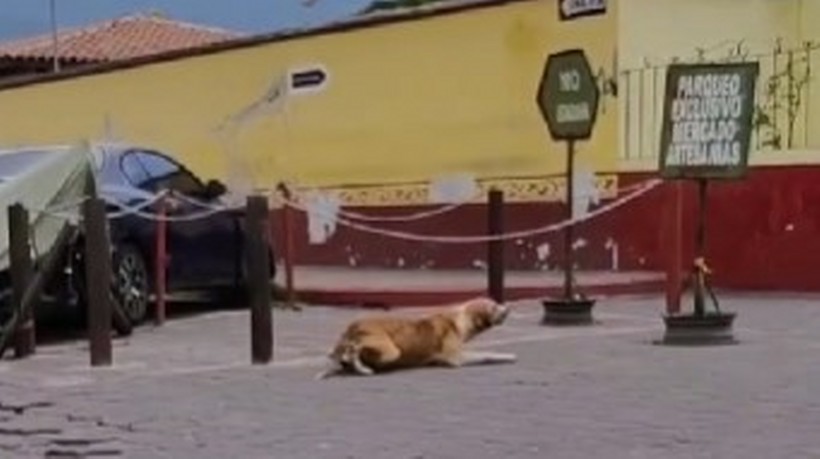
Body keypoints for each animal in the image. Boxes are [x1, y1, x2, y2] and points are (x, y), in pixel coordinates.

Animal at [314, 296, 512, 380]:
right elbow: (485, 354)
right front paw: (508, 356)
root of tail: (354, 325)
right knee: (355, 348)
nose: (508, 308)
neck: (460, 320)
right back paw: (357, 361)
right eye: (494, 307)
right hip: (390, 350)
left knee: (344, 353)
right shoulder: (456, 359)